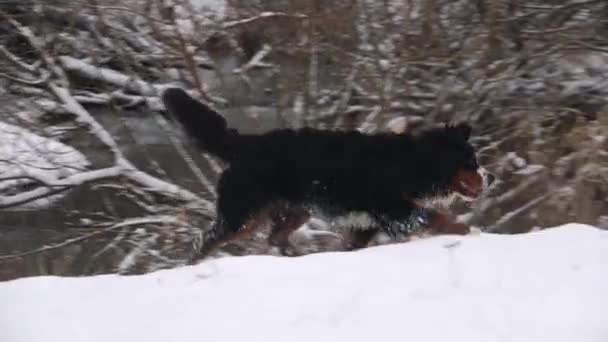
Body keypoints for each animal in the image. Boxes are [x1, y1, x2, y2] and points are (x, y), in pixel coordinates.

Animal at [162, 87, 494, 260]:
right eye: (470, 162)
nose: (488, 178)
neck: (411, 164)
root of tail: (244, 143)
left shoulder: (366, 224)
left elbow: (349, 247)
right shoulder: (395, 209)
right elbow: (438, 218)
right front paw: (469, 232)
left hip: (293, 210)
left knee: (275, 236)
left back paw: (295, 257)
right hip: (243, 214)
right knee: (206, 239)